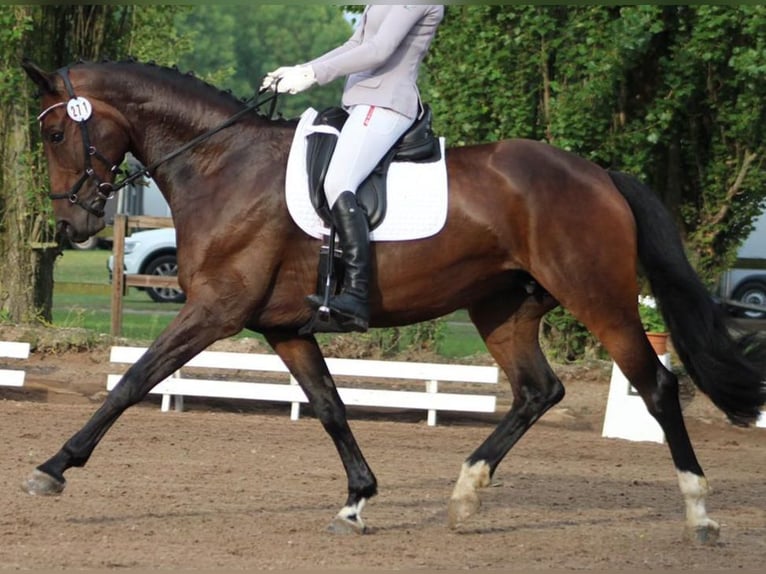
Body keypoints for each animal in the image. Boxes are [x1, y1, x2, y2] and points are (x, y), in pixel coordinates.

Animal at [21, 59, 764, 544]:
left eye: (56, 135)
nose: (73, 225)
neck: (222, 165)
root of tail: (598, 174)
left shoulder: (214, 311)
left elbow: (133, 382)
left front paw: (53, 468)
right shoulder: (284, 328)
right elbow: (329, 407)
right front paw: (356, 502)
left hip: (599, 297)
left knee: (657, 386)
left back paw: (700, 514)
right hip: (503, 309)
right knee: (537, 391)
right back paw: (465, 496)